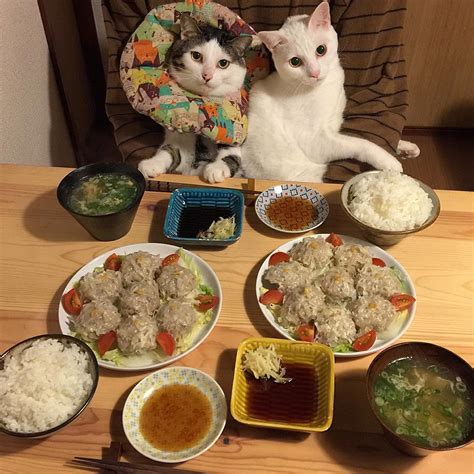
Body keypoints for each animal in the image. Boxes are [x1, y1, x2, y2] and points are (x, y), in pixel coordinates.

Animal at [204, 0, 418, 184]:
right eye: (295, 62)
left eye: (321, 50)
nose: (314, 73)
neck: (323, 86)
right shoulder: (315, 140)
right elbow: (359, 143)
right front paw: (388, 160)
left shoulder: (334, 123)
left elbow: (356, 135)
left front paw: (404, 146)